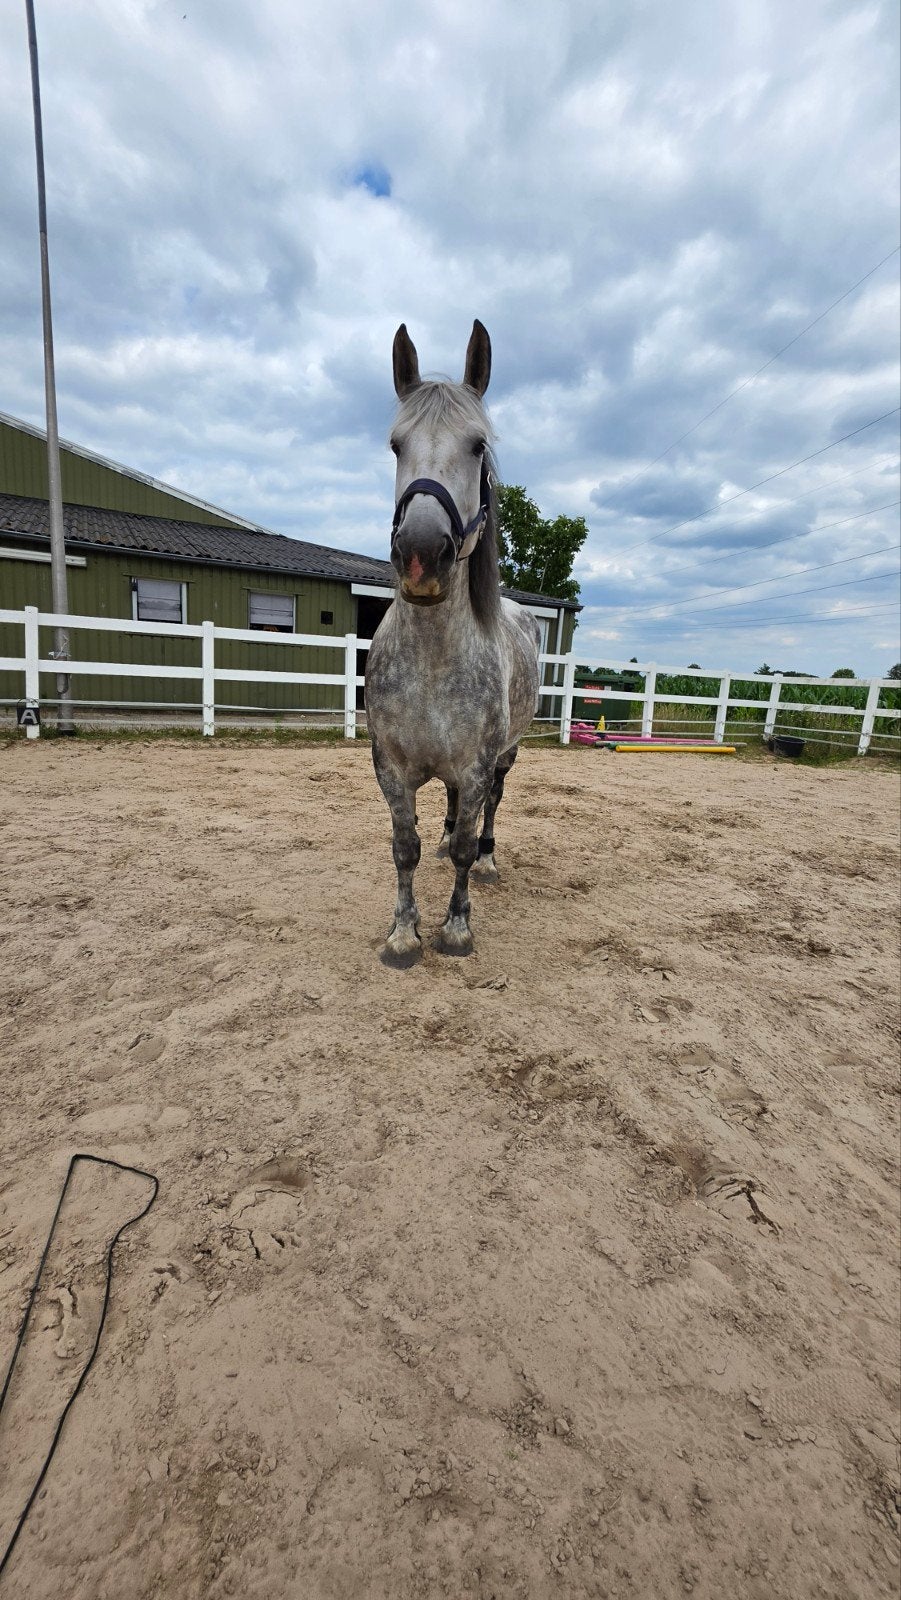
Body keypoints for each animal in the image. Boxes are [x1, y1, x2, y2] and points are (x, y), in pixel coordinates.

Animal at [364, 319, 541, 967]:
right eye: (395, 445)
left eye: (477, 446)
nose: (421, 554)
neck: (434, 664)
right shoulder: (390, 769)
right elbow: (405, 848)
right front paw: (401, 934)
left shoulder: (478, 763)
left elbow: (466, 840)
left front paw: (456, 928)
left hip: (506, 757)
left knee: (489, 808)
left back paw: (487, 859)